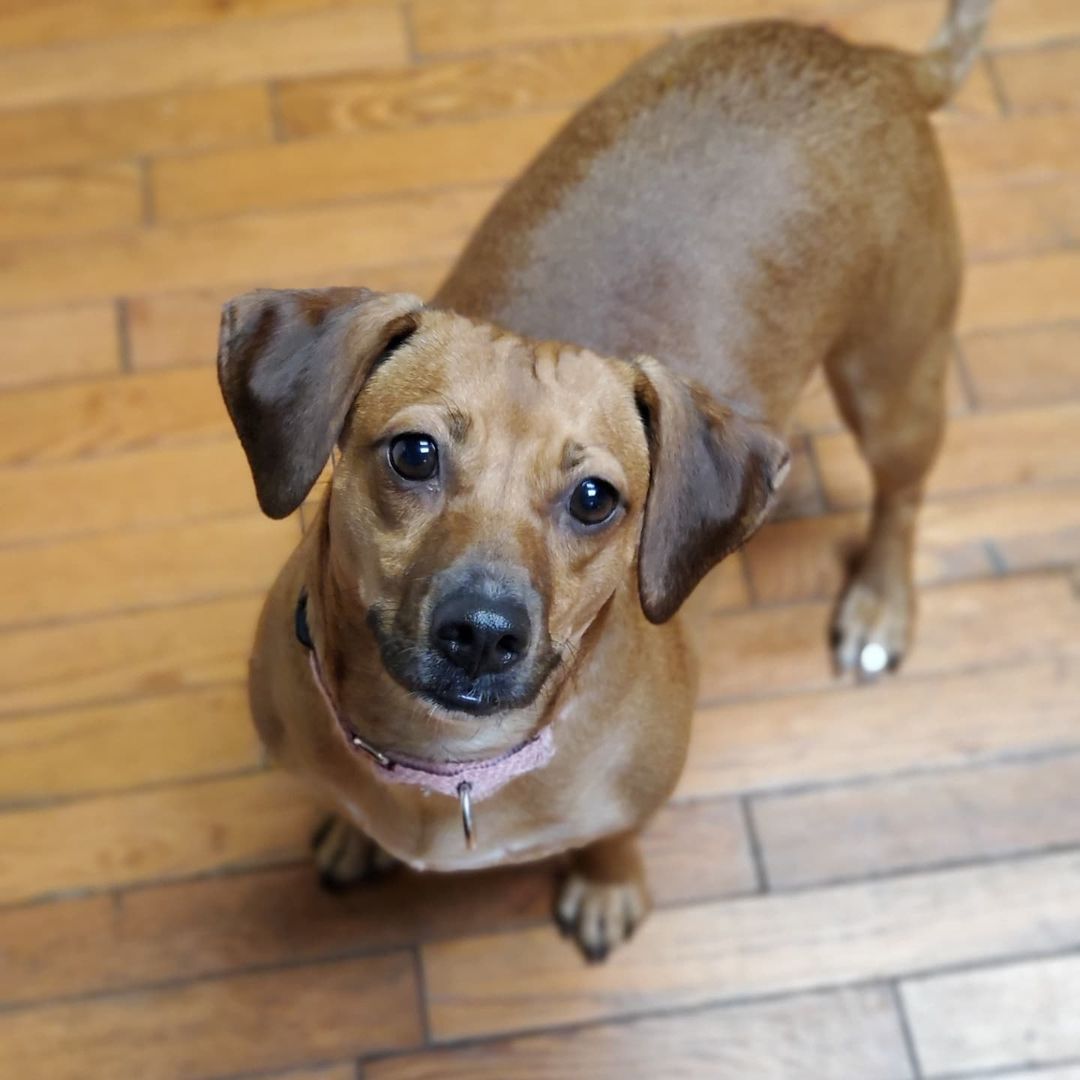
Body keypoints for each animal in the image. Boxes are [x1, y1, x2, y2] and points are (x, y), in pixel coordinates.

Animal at [217, 2, 993, 963]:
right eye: (414, 454)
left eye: (595, 500)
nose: (483, 634)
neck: (447, 766)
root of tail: (877, 61)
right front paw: (354, 832)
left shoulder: (636, 794)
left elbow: (617, 833)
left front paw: (605, 884)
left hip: (892, 382)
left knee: (902, 500)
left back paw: (880, 604)